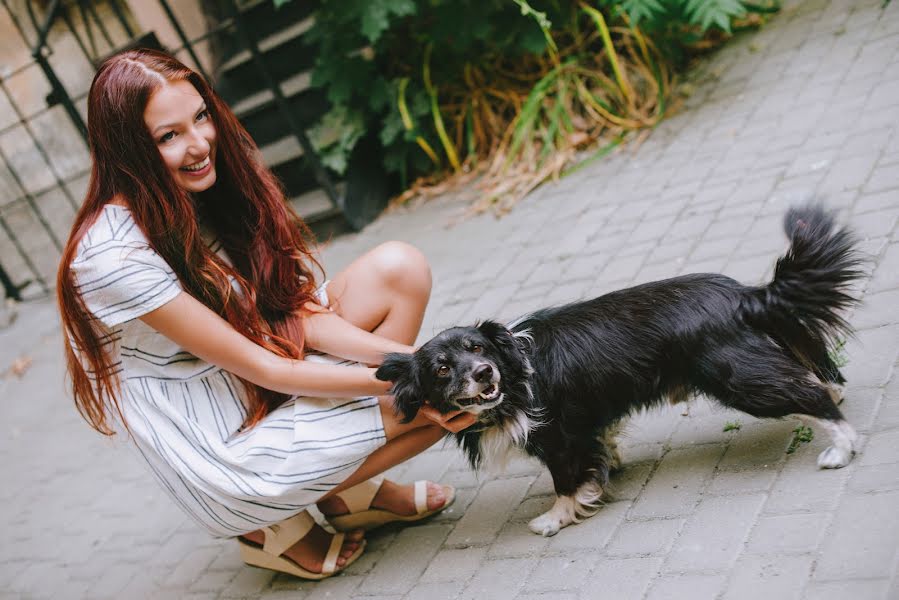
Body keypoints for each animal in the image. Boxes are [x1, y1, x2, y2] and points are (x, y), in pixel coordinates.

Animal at [374, 206, 864, 536]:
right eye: (441, 368)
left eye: (476, 348)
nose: (483, 374)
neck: (513, 372)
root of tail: (743, 295)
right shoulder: (584, 422)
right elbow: (599, 446)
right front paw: (607, 467)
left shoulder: (557, 438)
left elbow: (564, 481)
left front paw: (555, 518)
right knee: (812, 379)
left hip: (738, 379)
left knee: (807, 395)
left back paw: (840, 448)